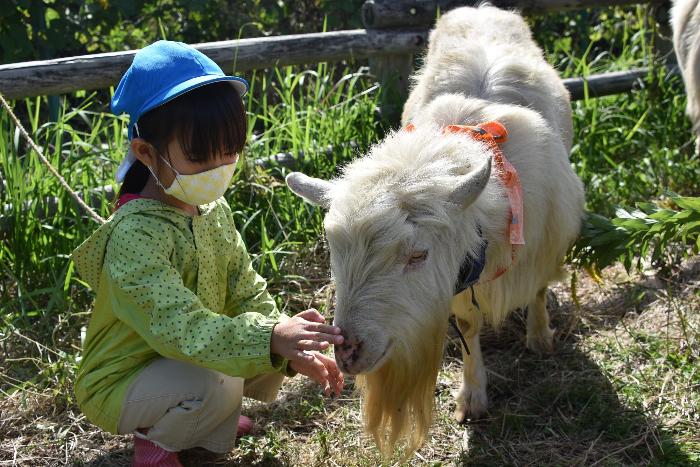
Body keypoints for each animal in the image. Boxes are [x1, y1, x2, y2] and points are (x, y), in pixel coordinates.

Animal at [284, 5, 584, 456]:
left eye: (417, 255)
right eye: (334, 251)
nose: (348, 353)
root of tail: (481, 8)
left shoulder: (544, 243)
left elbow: (537, 289)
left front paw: (540, 334)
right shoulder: (456, 281)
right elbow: (469, 329)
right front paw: (472, 396)